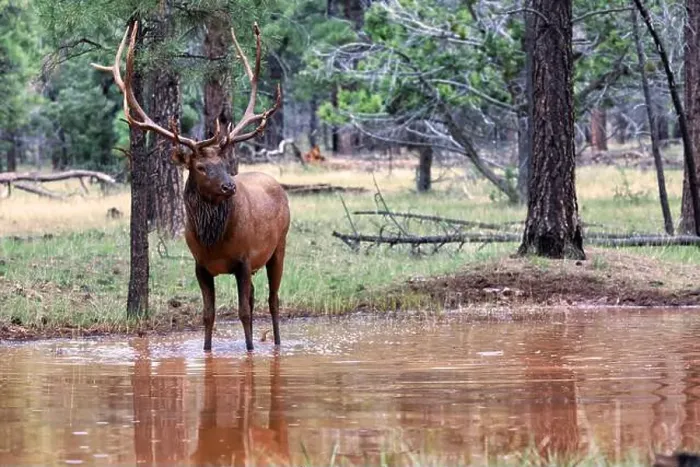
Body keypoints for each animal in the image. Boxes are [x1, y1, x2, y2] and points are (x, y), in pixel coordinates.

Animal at [93, 22, 290, 352]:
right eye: (200, 167)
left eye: (224, 162)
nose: (229, 187)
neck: (213, 241)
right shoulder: (200, 265)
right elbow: (208, 314)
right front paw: (207, 350)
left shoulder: (244, 259)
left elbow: (243, 312)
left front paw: (250, 351)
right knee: (257, 298)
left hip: (279, 246)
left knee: (273, 300)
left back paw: (276, 344)